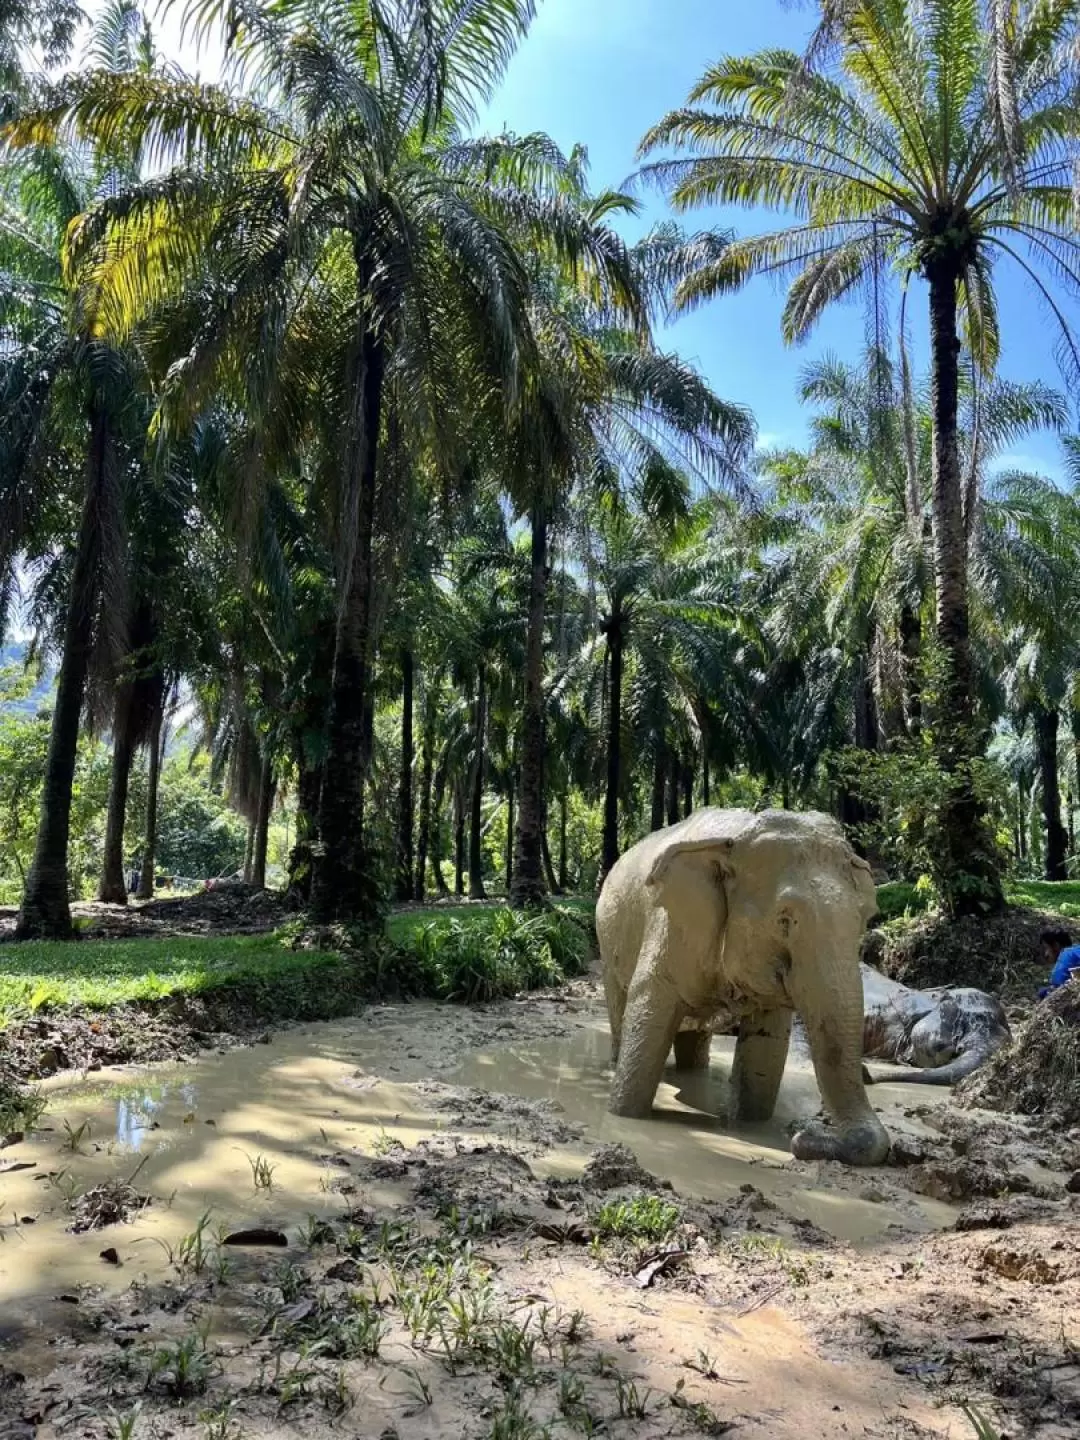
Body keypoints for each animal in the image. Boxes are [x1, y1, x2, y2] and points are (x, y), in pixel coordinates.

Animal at [596, 806, 892, 1163]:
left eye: (864, 919)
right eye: (785, 920)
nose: (802, 1137)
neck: (735, 837)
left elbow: (767, 1045)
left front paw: (750, 1125)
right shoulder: (669, 926)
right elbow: (647, 1018)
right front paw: (623, 1115)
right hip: (606, 947)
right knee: (619, 1010)